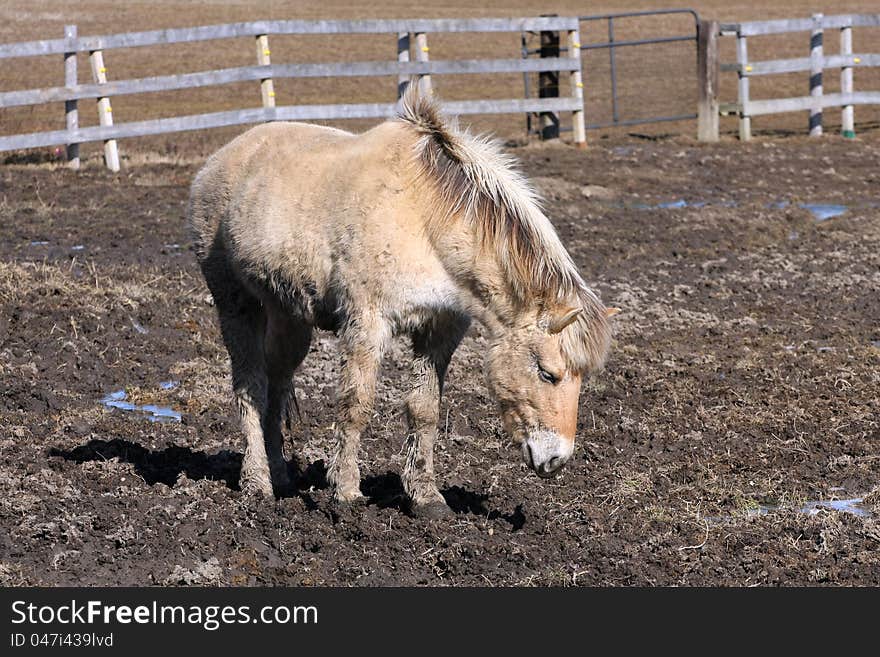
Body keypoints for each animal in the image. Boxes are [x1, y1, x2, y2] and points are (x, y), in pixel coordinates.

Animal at [186, 86, 612, 516]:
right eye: (547, 373)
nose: (556, 459)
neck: (425, 219)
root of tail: (220, 158)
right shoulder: (366, 324)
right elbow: (356, 404)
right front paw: (346, 491)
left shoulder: (440, 330)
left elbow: (423, 409)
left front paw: (426, 496)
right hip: (235, 305)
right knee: (250, 386)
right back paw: (257, 482)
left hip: (288, 316)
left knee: (277, 382)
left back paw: (280, 475)